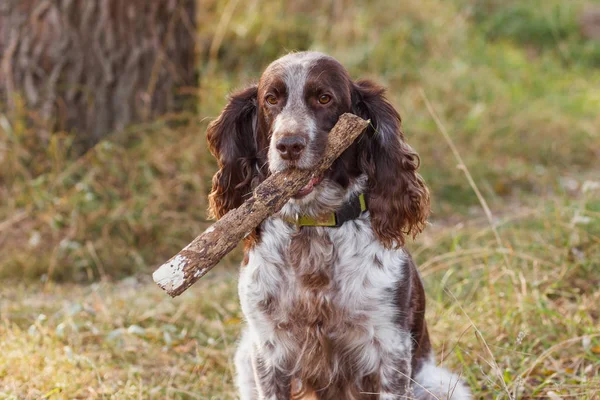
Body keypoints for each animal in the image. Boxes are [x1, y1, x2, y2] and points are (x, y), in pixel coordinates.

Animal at [209, 51, 472, 398]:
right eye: (271, 99)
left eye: (324, 98)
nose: (289, 145)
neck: (313, 228)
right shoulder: (268, 350)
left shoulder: (391, 349)